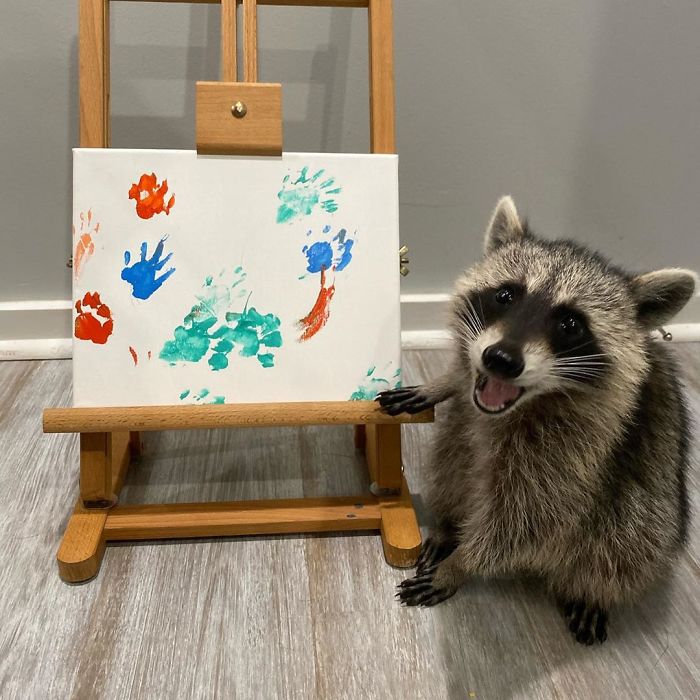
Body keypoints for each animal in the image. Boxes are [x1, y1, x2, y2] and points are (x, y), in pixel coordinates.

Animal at [379, 196, 695, 645]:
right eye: (505, 295)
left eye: (570, 324)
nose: (499, 359)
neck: (519, 406)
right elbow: (461, 385)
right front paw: (443, 382)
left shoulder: (573, 451)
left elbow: (527, 522)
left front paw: (462, 563)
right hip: (459, 436)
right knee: (451, 458)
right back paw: (449, 521)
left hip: (651, 504)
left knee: (630, 538)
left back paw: (592, 589)